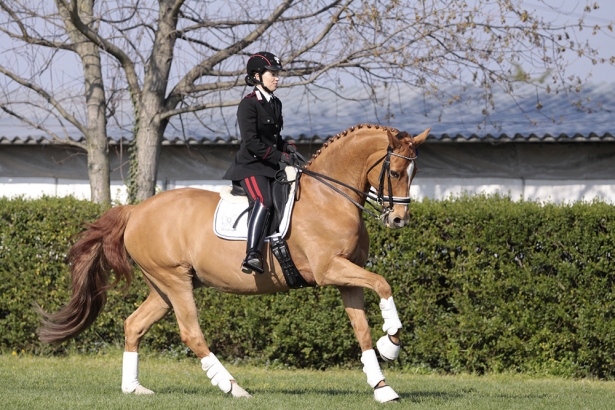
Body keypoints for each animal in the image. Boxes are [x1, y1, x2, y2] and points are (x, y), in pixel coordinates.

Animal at [37, 122, 428, 404]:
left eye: (415, 173)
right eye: (395, 172)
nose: (399, 220)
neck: (330, 196)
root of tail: (136, 210)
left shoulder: (347, 278)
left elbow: (362, 329)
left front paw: (382, 384)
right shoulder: (329, 270)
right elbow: (383, 283)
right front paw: (391, 343)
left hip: (163, 287)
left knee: (134, 324)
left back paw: (134, 388)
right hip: (175, 281)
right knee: (191, 333)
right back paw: (233, 387)